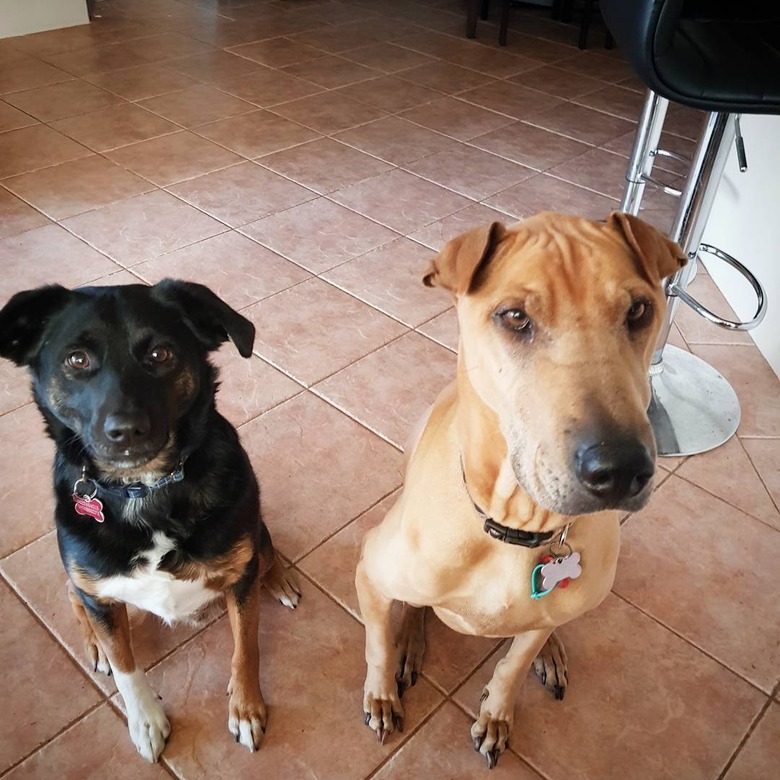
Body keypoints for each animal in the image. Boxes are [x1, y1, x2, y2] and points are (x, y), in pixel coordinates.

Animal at [0, 278, 300, 760]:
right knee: (75, 598)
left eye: (161, 354)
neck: (146, 488)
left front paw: (246, 709)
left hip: (255, 539)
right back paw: (94, 644)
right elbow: (125, 666)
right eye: (76, 359)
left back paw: (280, 581)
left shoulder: (240, 574)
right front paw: (145, 721)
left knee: (268, 554)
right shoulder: (101, 590)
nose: (125, 431)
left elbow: (246, 646)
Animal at [356, 209, 684, 768]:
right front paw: (381, 694)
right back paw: (411, 641)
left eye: (640, 309)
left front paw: (497, 713)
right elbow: (377, 642)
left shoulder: (535, 621)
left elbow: (512, 663)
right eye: (514, 317)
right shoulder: (370, 574)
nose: (621, 470)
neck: (516, 523)